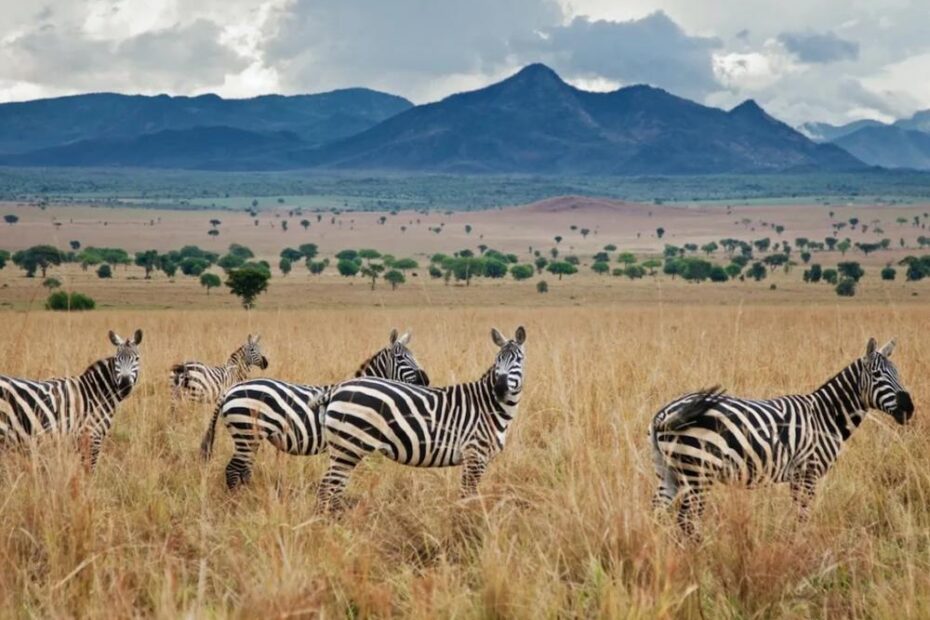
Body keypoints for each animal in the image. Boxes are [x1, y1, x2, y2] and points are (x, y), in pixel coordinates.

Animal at [0, 329, 143, 468]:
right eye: (117, 359)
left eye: (136, 359)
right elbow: (89, 472)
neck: (97, 393)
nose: (124, 384)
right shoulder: (92, 437)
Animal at [199, 329, 430, 489]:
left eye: (414, 356)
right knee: (233, 470)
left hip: (250, 436)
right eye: (401, 358)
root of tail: (230, 390)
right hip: (246, 432)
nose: (425, 380)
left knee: (243, 469)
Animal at [315, 326, 526, 510]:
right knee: (326, 489)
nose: (500, 388)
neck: (488, 405)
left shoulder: (477, 458)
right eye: (498, 360)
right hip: (348, 447)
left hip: (344, 449)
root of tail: (337, 389)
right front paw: (467, 519)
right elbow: (468, 496)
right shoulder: (474, 455)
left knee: (333, 489)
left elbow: (468, 495)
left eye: (518, 360)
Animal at [650, 338, 914, 536]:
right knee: (686, 520)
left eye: (898, 373)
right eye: (877, 375)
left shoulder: (798, 475)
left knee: (657, 514)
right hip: (698, 472)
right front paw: (801, 547)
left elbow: (799, 515)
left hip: (669, 471)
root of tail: (663, 414)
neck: (826, 416)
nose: (909, 408)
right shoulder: (808, 471)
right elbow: (803, 516)